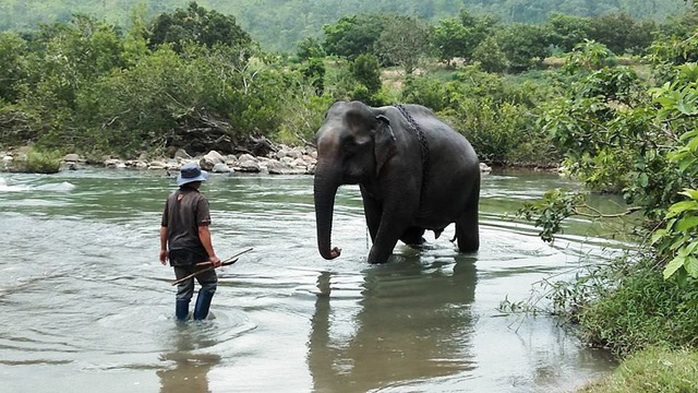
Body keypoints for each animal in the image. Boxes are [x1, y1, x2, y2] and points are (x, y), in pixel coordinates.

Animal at [314, 100, 478, 264]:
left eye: (350, 146)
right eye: (315, 142)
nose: (337, 250)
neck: (374, 112)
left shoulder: (404, 160)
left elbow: (400, 212)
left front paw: (374, 263)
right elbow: (373, 214)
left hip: (472, 186)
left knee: (468, 235)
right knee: (413, 234)